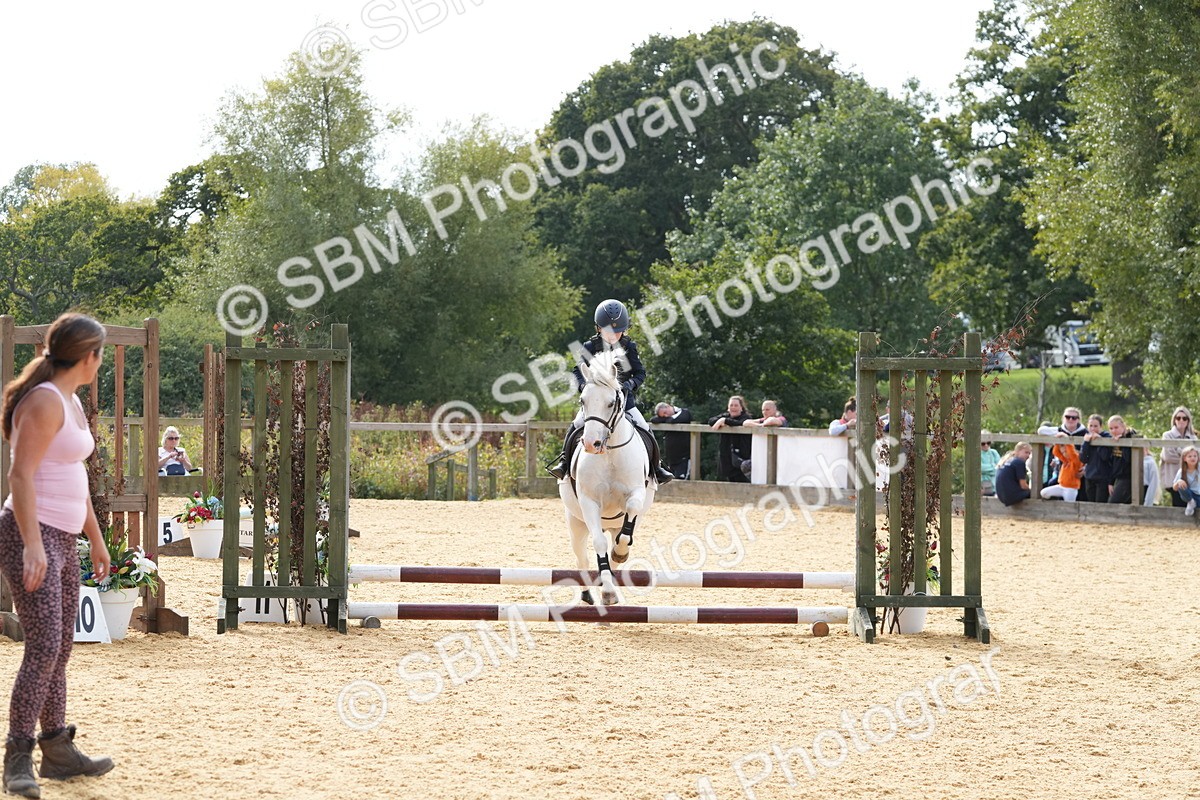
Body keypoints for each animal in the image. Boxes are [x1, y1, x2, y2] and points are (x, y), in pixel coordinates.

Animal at [557, 348, 657, 605]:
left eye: (611, 403)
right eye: (583, 401)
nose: (591, 444)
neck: (609, 453)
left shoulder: (636, 494)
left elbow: (628, 519)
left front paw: (619, 555)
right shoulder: (589, 502)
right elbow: (598, 544)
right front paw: (608, 591)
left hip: (617, 523)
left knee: (619, 538)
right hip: (576, 523)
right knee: (582, 557)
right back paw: (588, 593)